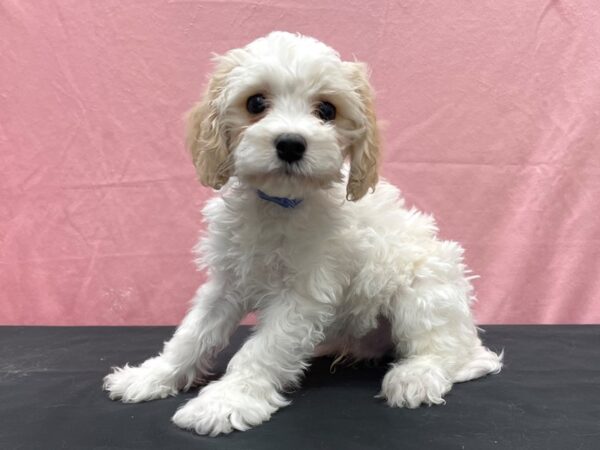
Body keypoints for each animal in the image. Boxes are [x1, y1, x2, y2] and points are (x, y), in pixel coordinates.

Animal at [103, 30, 502, 436]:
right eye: (255, 102)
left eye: (326, 110)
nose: (291, 143)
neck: (280, 204)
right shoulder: (227, 281)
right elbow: (193, 333)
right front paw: (153, 376)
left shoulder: (303, 294)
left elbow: (260, 350)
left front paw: (225, 401)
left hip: (424, 292)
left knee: (447, 350)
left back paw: (415, 376)